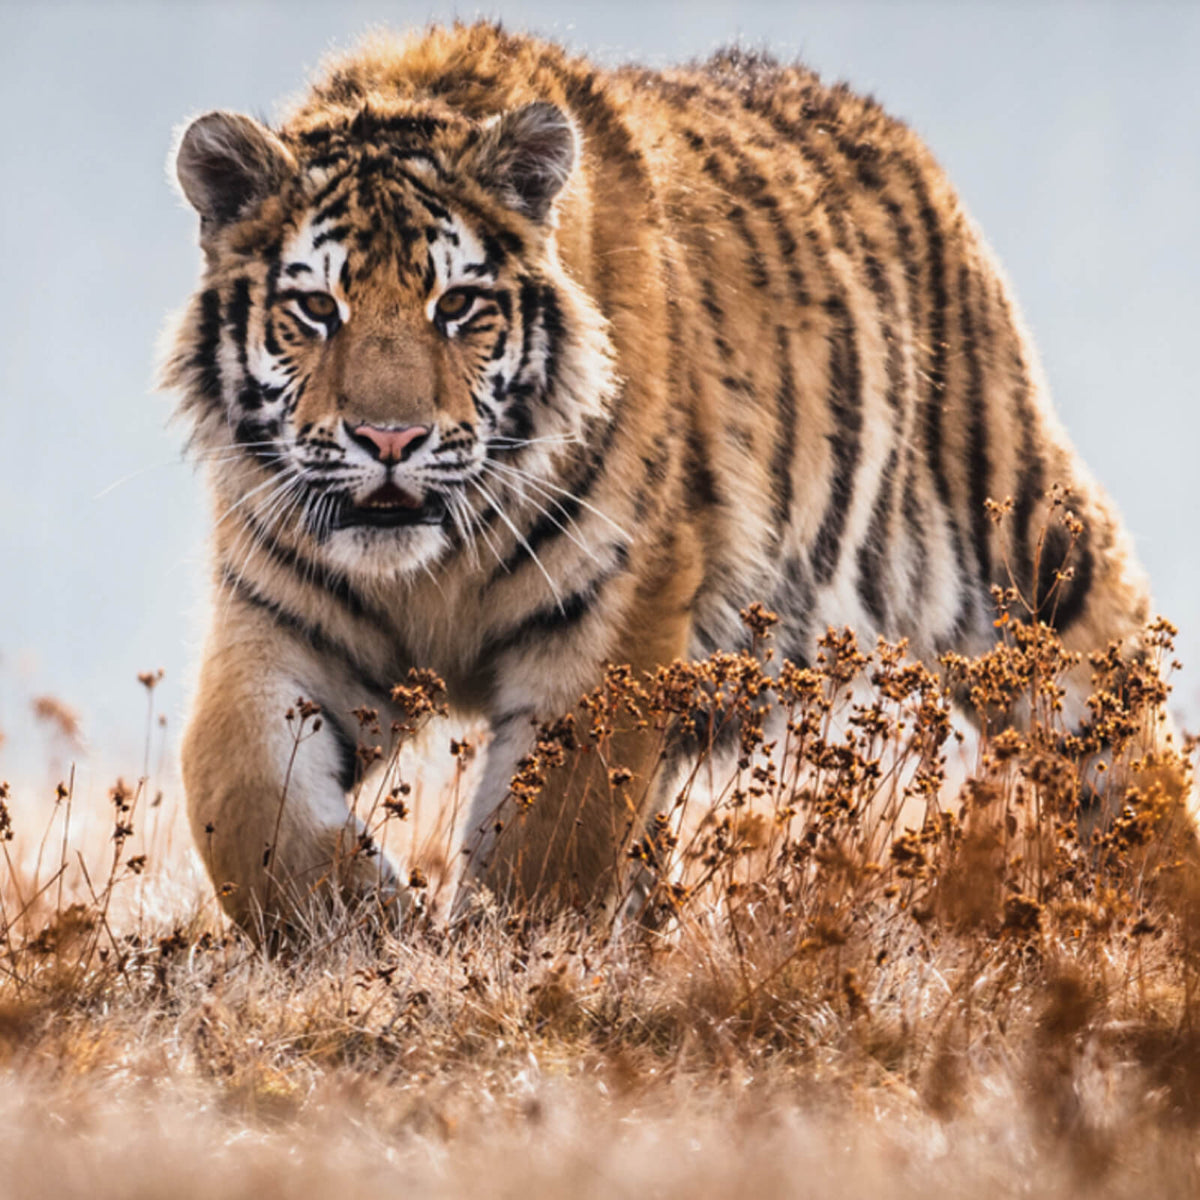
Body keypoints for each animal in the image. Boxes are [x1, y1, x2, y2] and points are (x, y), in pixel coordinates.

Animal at [164, 21, 1162, 938]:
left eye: (458, 305)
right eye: (314, 308)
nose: (389, 438)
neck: (431, 568)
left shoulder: (617, 603)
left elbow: (555, 829)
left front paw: (498, 950)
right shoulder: (274, 614)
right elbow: (234, 791)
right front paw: (359, 925)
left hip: (1022, 557)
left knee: (1123, 730)